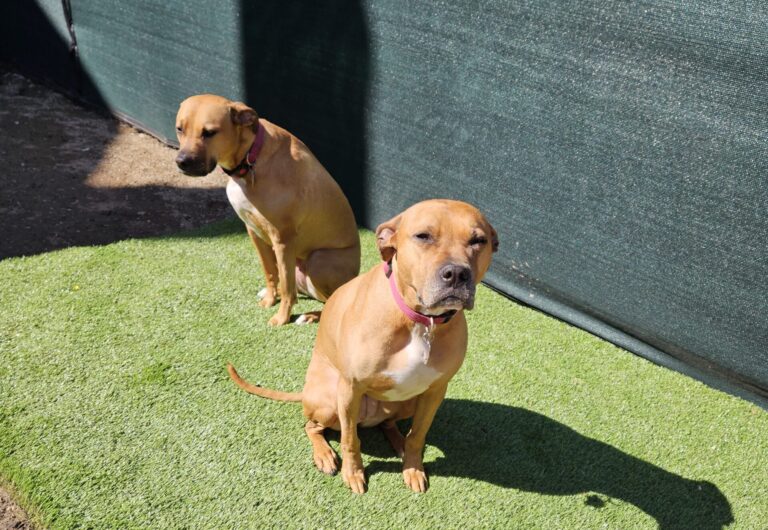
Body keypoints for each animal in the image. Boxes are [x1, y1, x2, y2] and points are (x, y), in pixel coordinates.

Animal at [176, 95, 362, 326]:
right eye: (180, 129)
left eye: (209, 132)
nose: (182, 161)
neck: (250, 160)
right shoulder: (254, 232)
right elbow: (271, 273)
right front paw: (270, 300)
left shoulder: (282, 240)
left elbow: (287, 288)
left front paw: (282, 318)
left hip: (319, 260)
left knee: (328, 300)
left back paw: (310, 315)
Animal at [226, 199, 498, 490]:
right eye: (423, 236)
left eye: (478, 240)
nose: (457, 273)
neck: (419, 321)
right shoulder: (350, 388)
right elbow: (349, 440)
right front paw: (353, 473)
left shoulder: (435, 391)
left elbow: (417, 435)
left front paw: (413, 467)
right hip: (330, 400)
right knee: (312, 426)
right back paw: (324, 455)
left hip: (408, 401)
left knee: (388, 425)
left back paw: (399, 445)